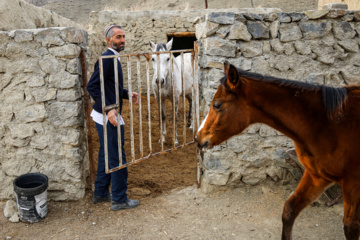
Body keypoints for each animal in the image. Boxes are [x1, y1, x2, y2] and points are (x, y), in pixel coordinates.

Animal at [195, 62, 360, 240]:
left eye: (217, 105)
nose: (198, 138)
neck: (328, 124)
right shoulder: (317, 176)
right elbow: (289, 209)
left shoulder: (352, 185)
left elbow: (351, 228)